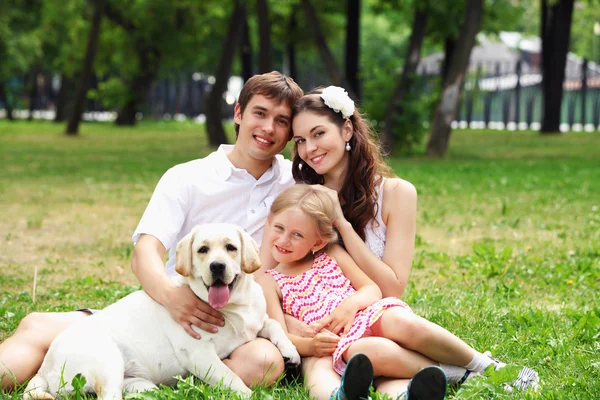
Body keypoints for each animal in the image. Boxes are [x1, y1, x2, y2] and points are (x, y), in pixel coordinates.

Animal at [24, 223, 300, 398]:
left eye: (231, 247)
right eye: (203, 250)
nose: (217, 266)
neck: (233, 308)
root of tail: (44, 369)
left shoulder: (257, 321)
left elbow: (273, 323)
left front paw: (291, 352)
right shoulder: (199, 355)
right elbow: (233, 378)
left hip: (133, 380)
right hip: (108, 361)